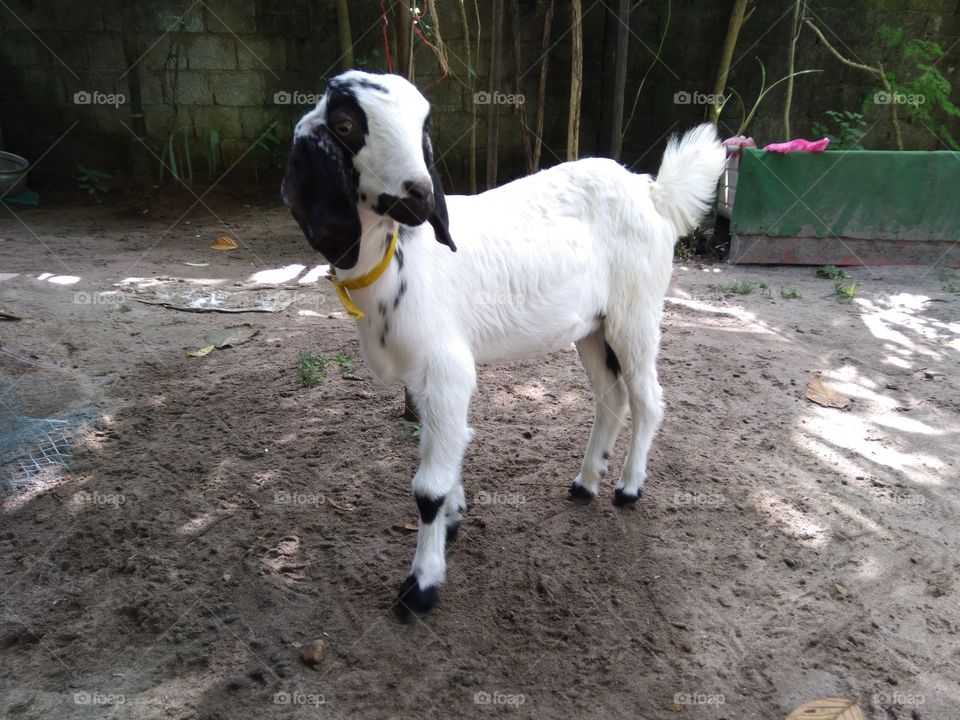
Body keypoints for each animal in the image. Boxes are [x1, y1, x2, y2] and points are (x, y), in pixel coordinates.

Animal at [282, 70, 726, 621]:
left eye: (423, 126)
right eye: (344, 125)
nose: (420, 195)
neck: (398, 261)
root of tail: (654, 192)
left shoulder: (447, 367)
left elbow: (427, 488)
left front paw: (420, 586)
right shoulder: (425, 379)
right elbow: (445, 450)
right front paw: (454, 519)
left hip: (637, 309)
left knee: (648, 399)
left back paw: (628, 488)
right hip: (592, 327)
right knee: (611, 397)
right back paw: (586, 483)